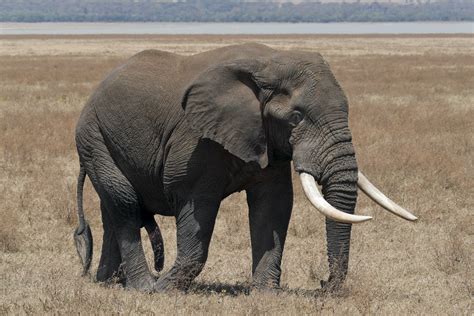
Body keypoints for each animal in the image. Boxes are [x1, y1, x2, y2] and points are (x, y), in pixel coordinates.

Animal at [72, 43, 416, 292]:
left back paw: (110, 282)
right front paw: (164, 290)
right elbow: (198, 208)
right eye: (296, 118)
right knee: (124, 203)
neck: (269, 63)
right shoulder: (196, 140)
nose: (324, 284)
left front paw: (265, 294)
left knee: (111, 208)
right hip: (93, 137)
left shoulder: (266, 140)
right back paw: (141, 287)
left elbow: (273, 205)